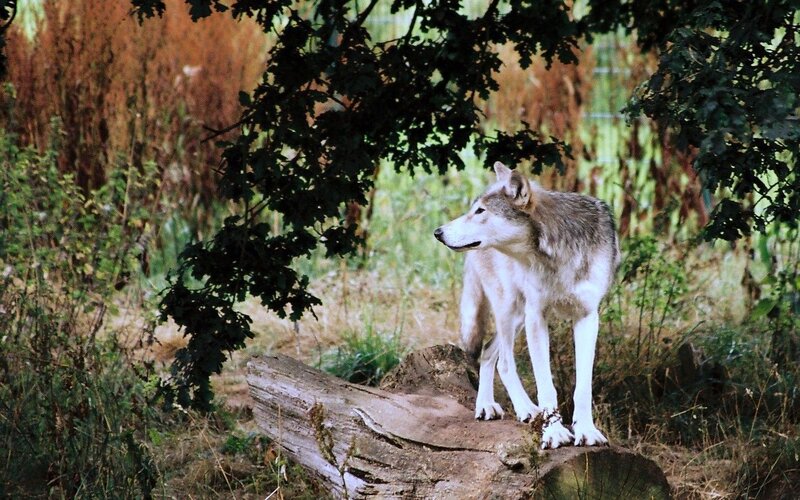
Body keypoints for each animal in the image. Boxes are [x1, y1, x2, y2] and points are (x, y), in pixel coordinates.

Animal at [434, 162, 620, 449]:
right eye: (473, 209)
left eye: (480, 211)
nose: (438, 232)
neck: (555, 254)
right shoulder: (536, 316)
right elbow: (546, 386)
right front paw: (554, 432)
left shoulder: (588, 317)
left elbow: (583, 387)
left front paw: (586, 431)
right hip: (510, 309)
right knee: (502, 361)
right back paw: (516, 408)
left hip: (516, 316)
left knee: (488, 353)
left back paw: (491, 406)